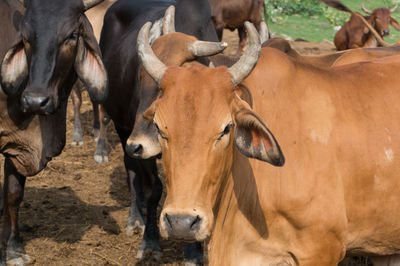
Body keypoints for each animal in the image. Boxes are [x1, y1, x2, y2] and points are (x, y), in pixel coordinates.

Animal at [0, 0, 108, 264]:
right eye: (25, 37)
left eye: (71, 36)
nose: (35, 101)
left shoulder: (17, 144)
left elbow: (13, 194)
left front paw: (13, 248)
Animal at [98, 0, 222, 262]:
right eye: (139, 75)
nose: (137, 144)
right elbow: (155, 189)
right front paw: (150, 242)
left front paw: (194, 252)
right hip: (123, 127)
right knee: (131, 171)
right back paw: (136, 218)